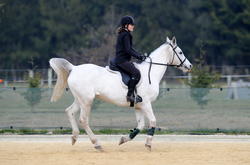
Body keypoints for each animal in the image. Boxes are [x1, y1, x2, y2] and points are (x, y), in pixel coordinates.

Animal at [49, 36, 192, 151]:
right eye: (180, 52)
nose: (189, 66)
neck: (150, 73)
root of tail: (74, 68)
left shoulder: (138, 106)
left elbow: (140, 126)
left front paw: (123, 139)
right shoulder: (146, 103)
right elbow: (152, 121)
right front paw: (148, 144)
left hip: (80, 99)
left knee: (70, 111)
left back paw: (74, 137)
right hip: (87, 101)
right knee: (83, 120)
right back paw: (97, 144)